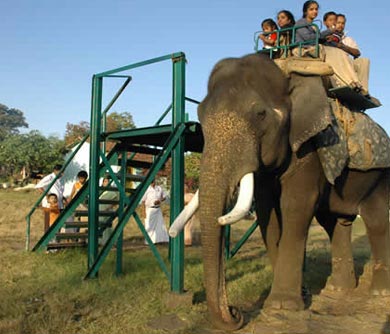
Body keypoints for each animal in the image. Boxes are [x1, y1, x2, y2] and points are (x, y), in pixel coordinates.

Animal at [168, 53, 390, 330]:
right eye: (200, 114)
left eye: (260, 114)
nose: (235, 312)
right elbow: (267, 213)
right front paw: (300, 294)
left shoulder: (308, 147)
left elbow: (295, 205)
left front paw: (283, 305)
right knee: (336, 223)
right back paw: (337, 290)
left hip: (378, 175)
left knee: (376, 220)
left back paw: (378, 293)